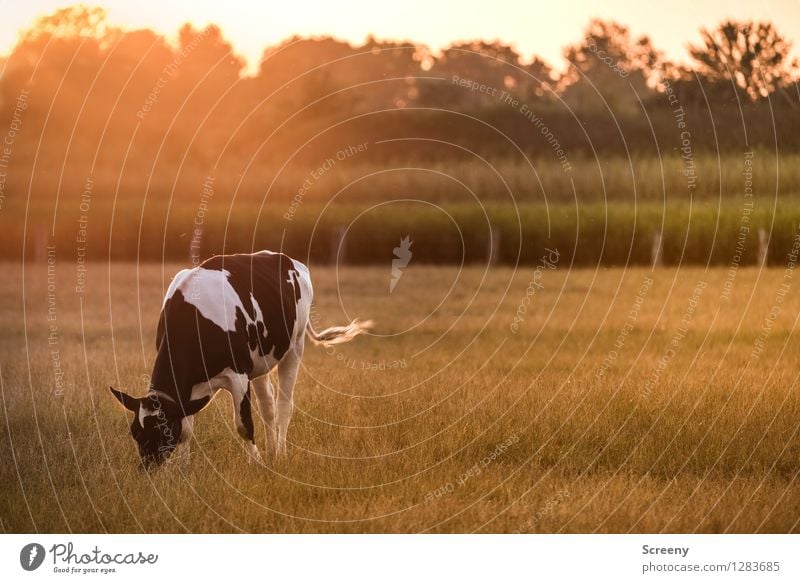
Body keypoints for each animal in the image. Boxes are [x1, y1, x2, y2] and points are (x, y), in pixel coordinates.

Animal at [110, 251, 372, 470]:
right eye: (135, 432)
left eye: (163, 432)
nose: (146, 468)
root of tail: (289, 260)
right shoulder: (188, 391)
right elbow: (186, 428)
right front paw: (184, 468)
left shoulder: (237, 375)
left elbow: (244, 425)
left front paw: (256, 463)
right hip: (260, 362)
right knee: (268, 406)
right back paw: (272, 451)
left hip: (295, 347)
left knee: (284, 405)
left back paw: (281, 454)